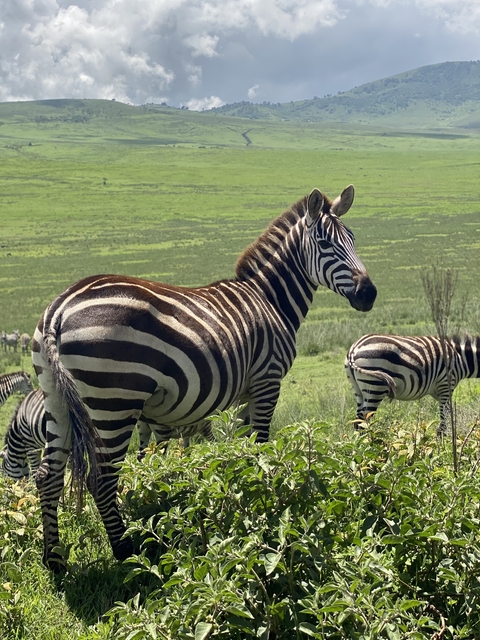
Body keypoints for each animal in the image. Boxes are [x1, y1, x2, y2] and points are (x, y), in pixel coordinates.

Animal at [32, 184, 377, 569]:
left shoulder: (245, 392)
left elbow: (244, 446)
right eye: (325, 243)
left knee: (48, 477)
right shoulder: (267, 380)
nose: (369, 294)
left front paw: (246, 496)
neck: (270, 300)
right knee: (102, 479)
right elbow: (262, 445)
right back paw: (125, 552)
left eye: (353, 238)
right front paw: (267, 499)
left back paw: (54, 560)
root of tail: (59, 308)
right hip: (113, 401)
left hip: (57, 398)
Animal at [345, 333, 480, 435]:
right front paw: (443, 446)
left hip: (358, 389)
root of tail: (354, 349)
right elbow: (444, 421)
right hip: (374, 387)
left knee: (357, 421)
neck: (460, 359)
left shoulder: (438, 392)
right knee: (363, 422)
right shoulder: (446, 386)